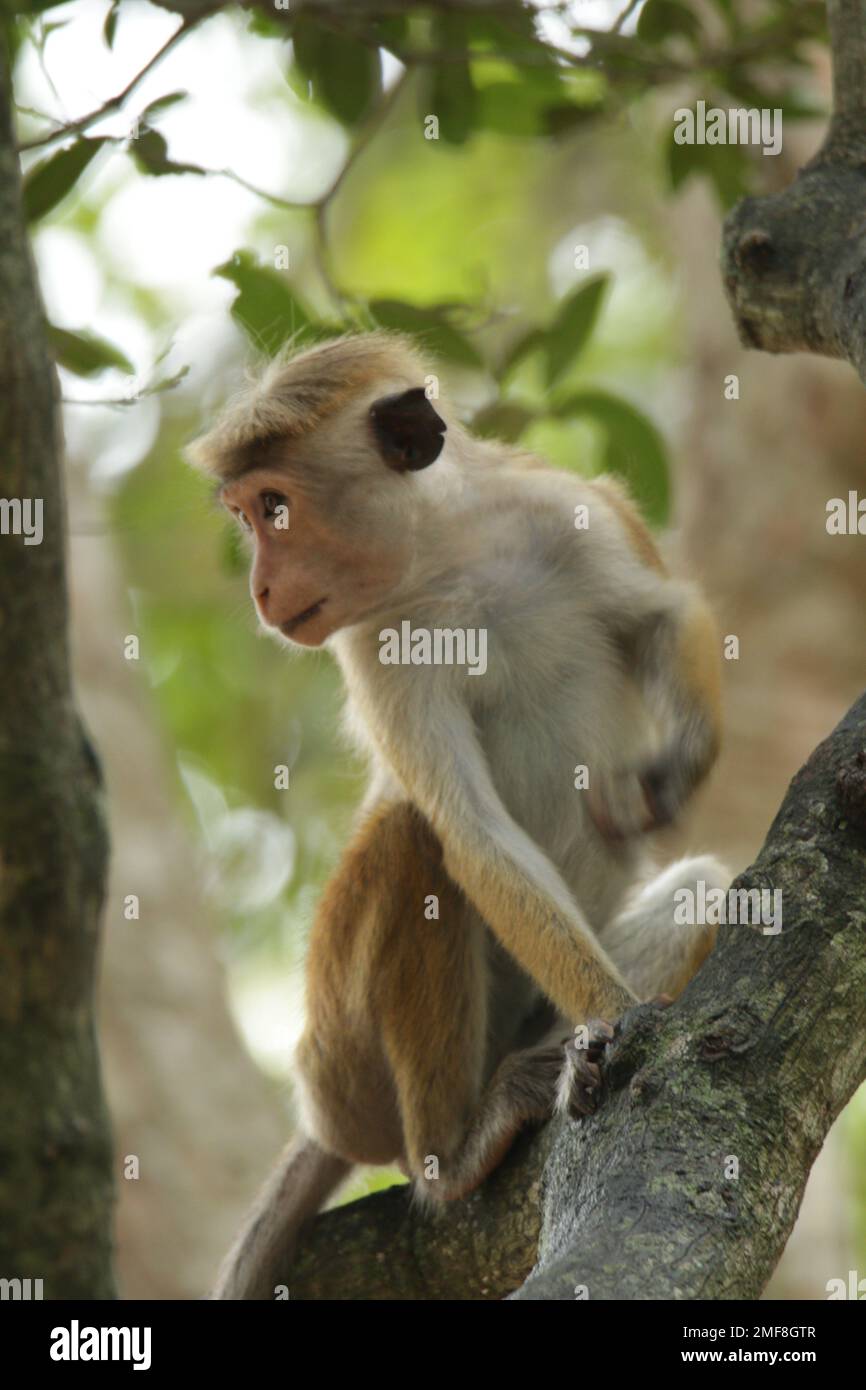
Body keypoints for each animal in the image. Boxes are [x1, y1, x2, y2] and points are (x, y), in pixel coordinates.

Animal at [187, 331, 728, 1299]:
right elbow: (471, 834)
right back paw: (457, 1152)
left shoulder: (568, 510)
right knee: (413, 839)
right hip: (342, 1066)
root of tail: (321, 1118)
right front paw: (615, 1022)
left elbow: (668, 614)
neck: (451, 559)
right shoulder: (381, 651)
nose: (259, 590)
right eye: (247, 518)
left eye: (274, 509)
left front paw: (675, 774)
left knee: (702, 887)